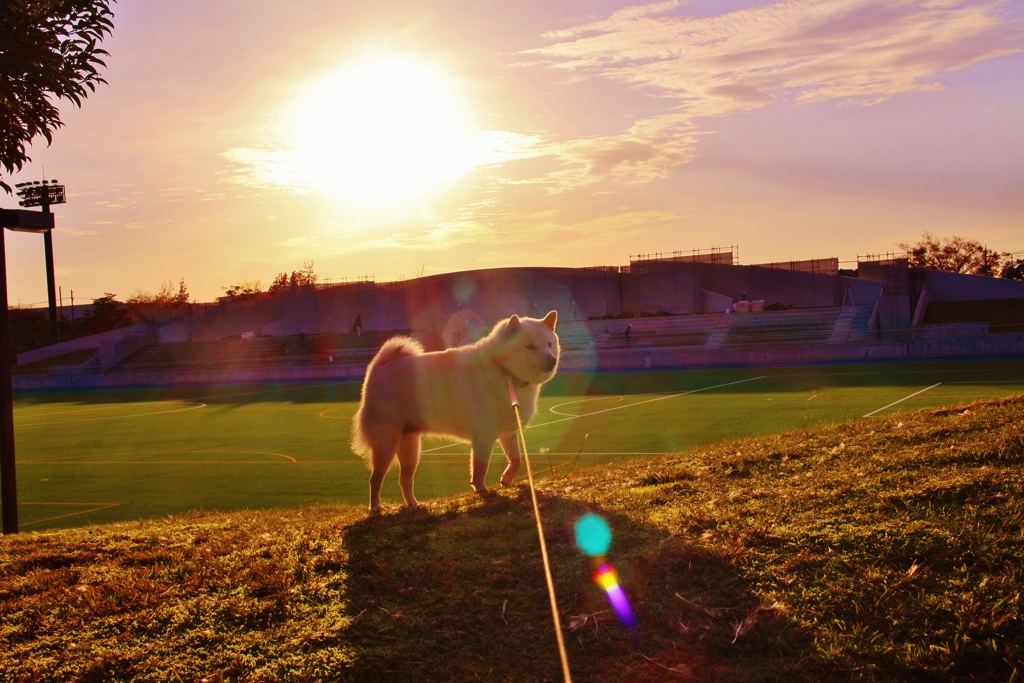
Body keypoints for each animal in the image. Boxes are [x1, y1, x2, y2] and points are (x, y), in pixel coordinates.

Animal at [352, 309, 561, 511]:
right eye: (530, 346)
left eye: (549, 344)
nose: (552, 360)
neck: (505, 372)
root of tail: (379, 367)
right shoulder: (483, 438)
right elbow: (480, 468)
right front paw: (481, 490)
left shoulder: (507, 434)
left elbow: (517, 460)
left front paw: (506, 479)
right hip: (386, 444)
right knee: (375, 480)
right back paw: (375, 507)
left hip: (410, 446)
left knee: (405, 479)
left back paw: (413, 504)